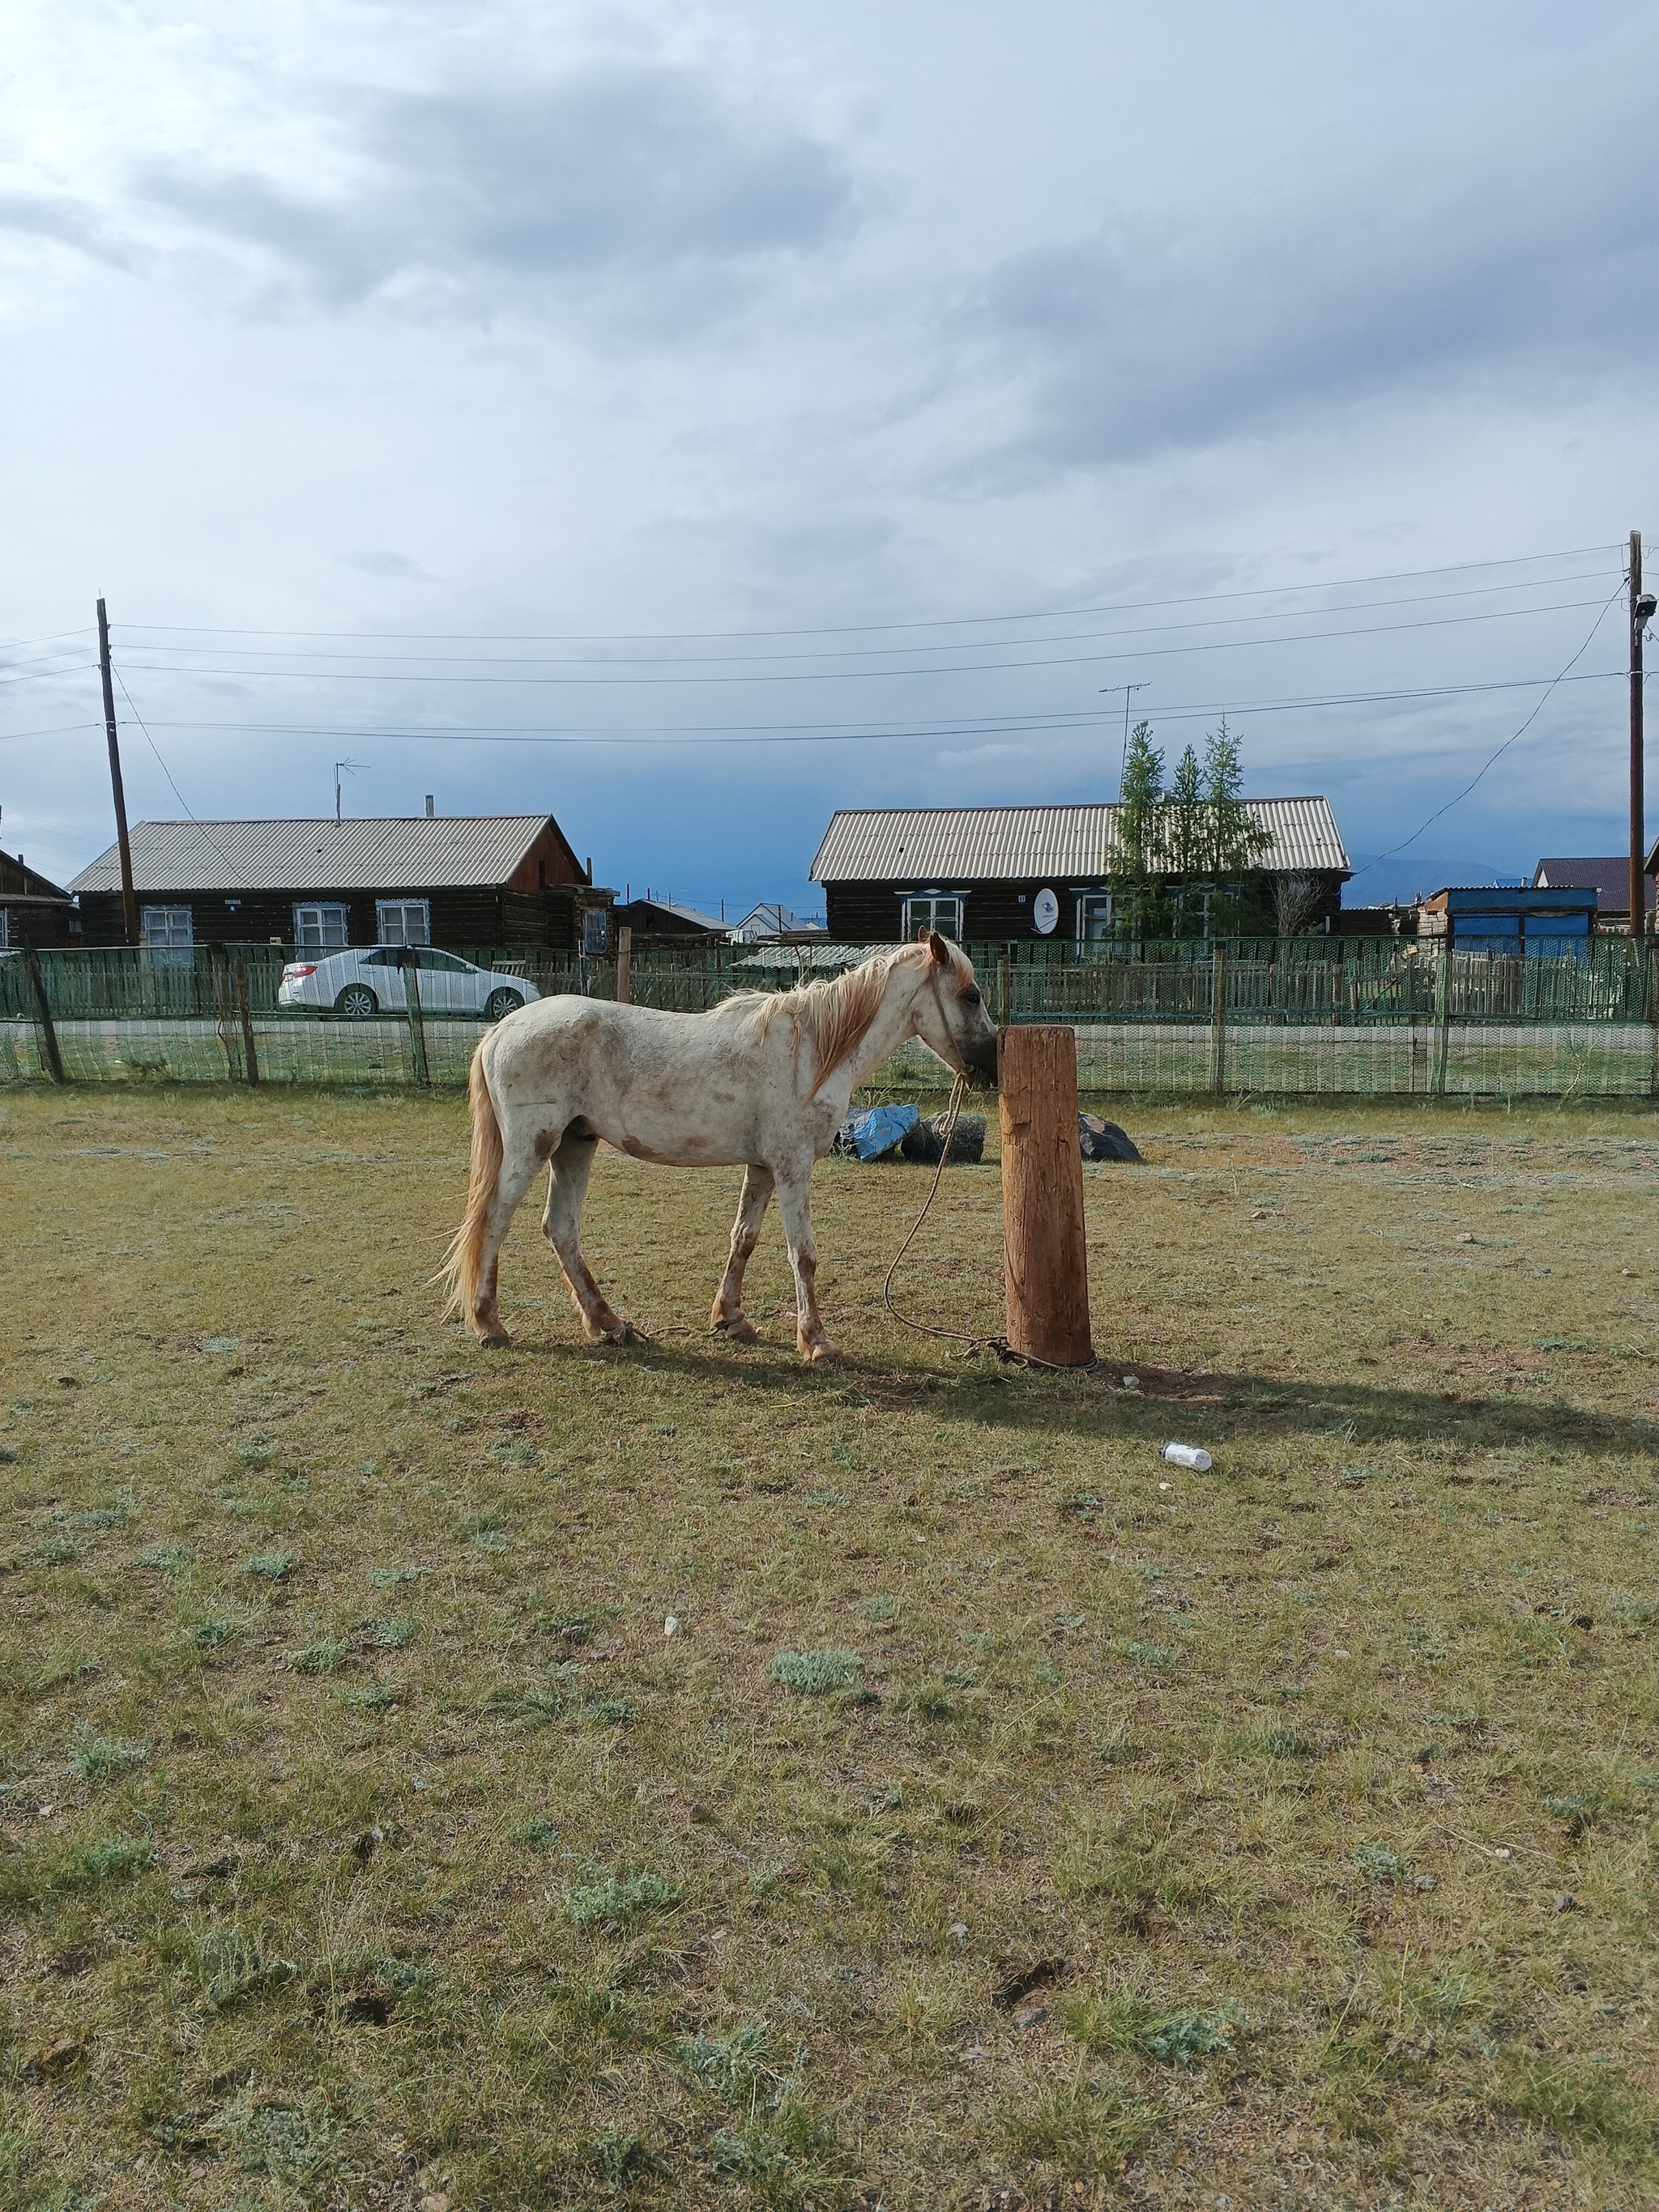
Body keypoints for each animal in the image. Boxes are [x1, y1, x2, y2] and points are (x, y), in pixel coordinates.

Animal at [442, 929, 1000, 1353]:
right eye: (971, 996)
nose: (993, 1068)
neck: (811, 1053)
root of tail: (501, 1029)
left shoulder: (764, 1167)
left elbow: (744, 1239)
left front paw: (730, 1318)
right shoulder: (792, 1166)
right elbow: (803, 1253)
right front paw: (817, 1340)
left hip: (576, 1144)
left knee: (561, 1229)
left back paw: (610, 1324)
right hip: (533, 1147)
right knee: (494, 1220)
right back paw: (490, 1324)